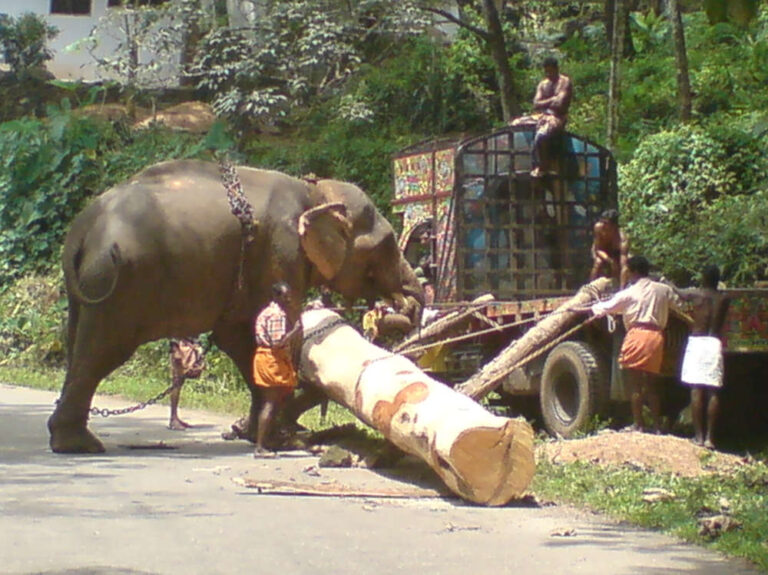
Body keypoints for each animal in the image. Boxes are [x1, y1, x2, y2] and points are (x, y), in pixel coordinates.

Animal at [49, 159, 426, 454]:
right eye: (387, 244)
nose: (402, 307)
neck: (313, 191)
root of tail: (81, 229)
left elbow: (238, 337)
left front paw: (254, 433)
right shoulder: (282, 252)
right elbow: (279, 331)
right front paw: (286, 438)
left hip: (88, 284)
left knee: (78, 342)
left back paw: (69, 440)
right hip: (120, 284)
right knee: (102, 351)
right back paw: (80, 445)